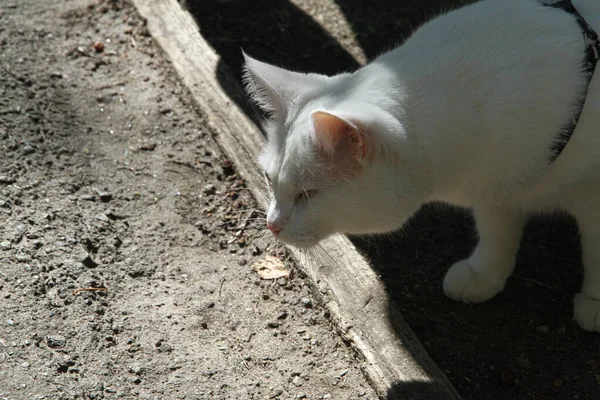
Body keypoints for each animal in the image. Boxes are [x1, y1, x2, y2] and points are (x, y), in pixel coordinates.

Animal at [243, 0, 600, 332]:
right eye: (269, 179)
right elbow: (497, 229)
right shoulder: (496, 187)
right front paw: (484, 273)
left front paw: (595, 302)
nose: (272, 225)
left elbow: (594, 248)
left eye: (307, 194)